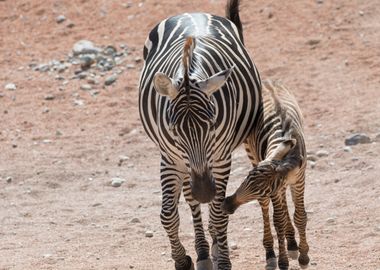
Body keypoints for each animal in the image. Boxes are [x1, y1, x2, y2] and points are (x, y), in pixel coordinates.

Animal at [138, 1, 262, 268]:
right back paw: (203, 251)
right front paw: (182, 259)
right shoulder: (170, 158)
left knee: (212, 207)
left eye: (212, 124)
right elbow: (168, 215)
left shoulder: (220, 158)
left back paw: (213, 246)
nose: (204, 191)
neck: (188, 72)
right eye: (174, 129)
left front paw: (223, 260)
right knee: (190, 199)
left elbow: (218, 214)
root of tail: (192, 12)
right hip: (184, 166)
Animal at [223, 80, 308, 270]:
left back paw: (292, 244)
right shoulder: (276, 189)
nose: (226, 205)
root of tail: (267, 81)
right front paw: (283, 261)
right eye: (244, 180)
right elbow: (278, 222)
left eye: (262, 190)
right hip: (251, 151)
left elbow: (300, 216)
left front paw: (304, 256)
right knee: (267, 207)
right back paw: (271, 252)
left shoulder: (299, 180)